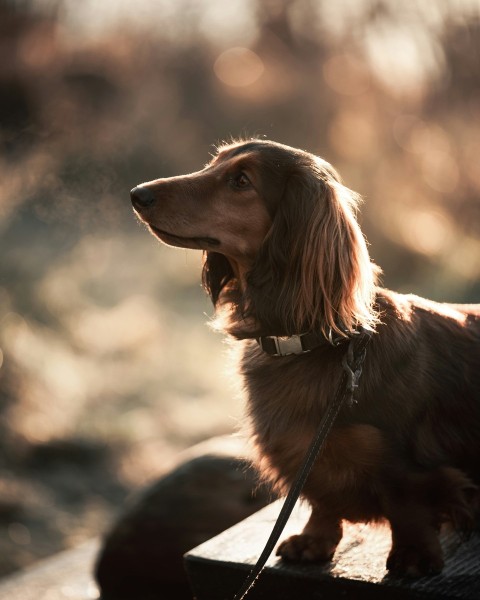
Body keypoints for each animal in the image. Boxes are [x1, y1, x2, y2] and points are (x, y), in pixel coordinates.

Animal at [130, 138, 480, 576]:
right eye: (214, 164)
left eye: (241, 181)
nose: (137, 194)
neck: (304, 342)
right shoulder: (303, 454)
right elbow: (321, 500)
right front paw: (314, 540)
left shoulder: (406, 463)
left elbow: (407, 505)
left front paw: (414, 555)